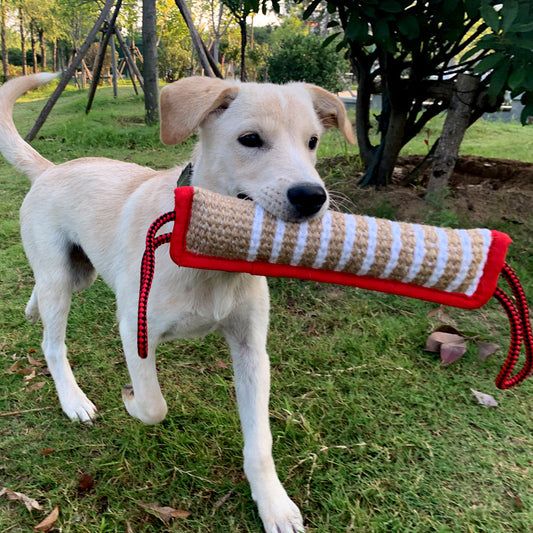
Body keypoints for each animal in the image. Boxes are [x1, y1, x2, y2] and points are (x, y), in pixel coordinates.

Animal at [0, 75, 354, 532]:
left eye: (313, 142)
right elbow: (154, 406)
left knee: (41, 294)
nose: (312, 197)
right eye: (250, 139)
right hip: (62, 281)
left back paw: (32, 310)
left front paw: (273, 504)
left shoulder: (251, 350)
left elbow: (260, 441)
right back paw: (73, 400)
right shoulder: (135, 329)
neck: (211, 257)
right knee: (52, 343)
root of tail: (50, 169)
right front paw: (130, 400)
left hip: (80, 272)